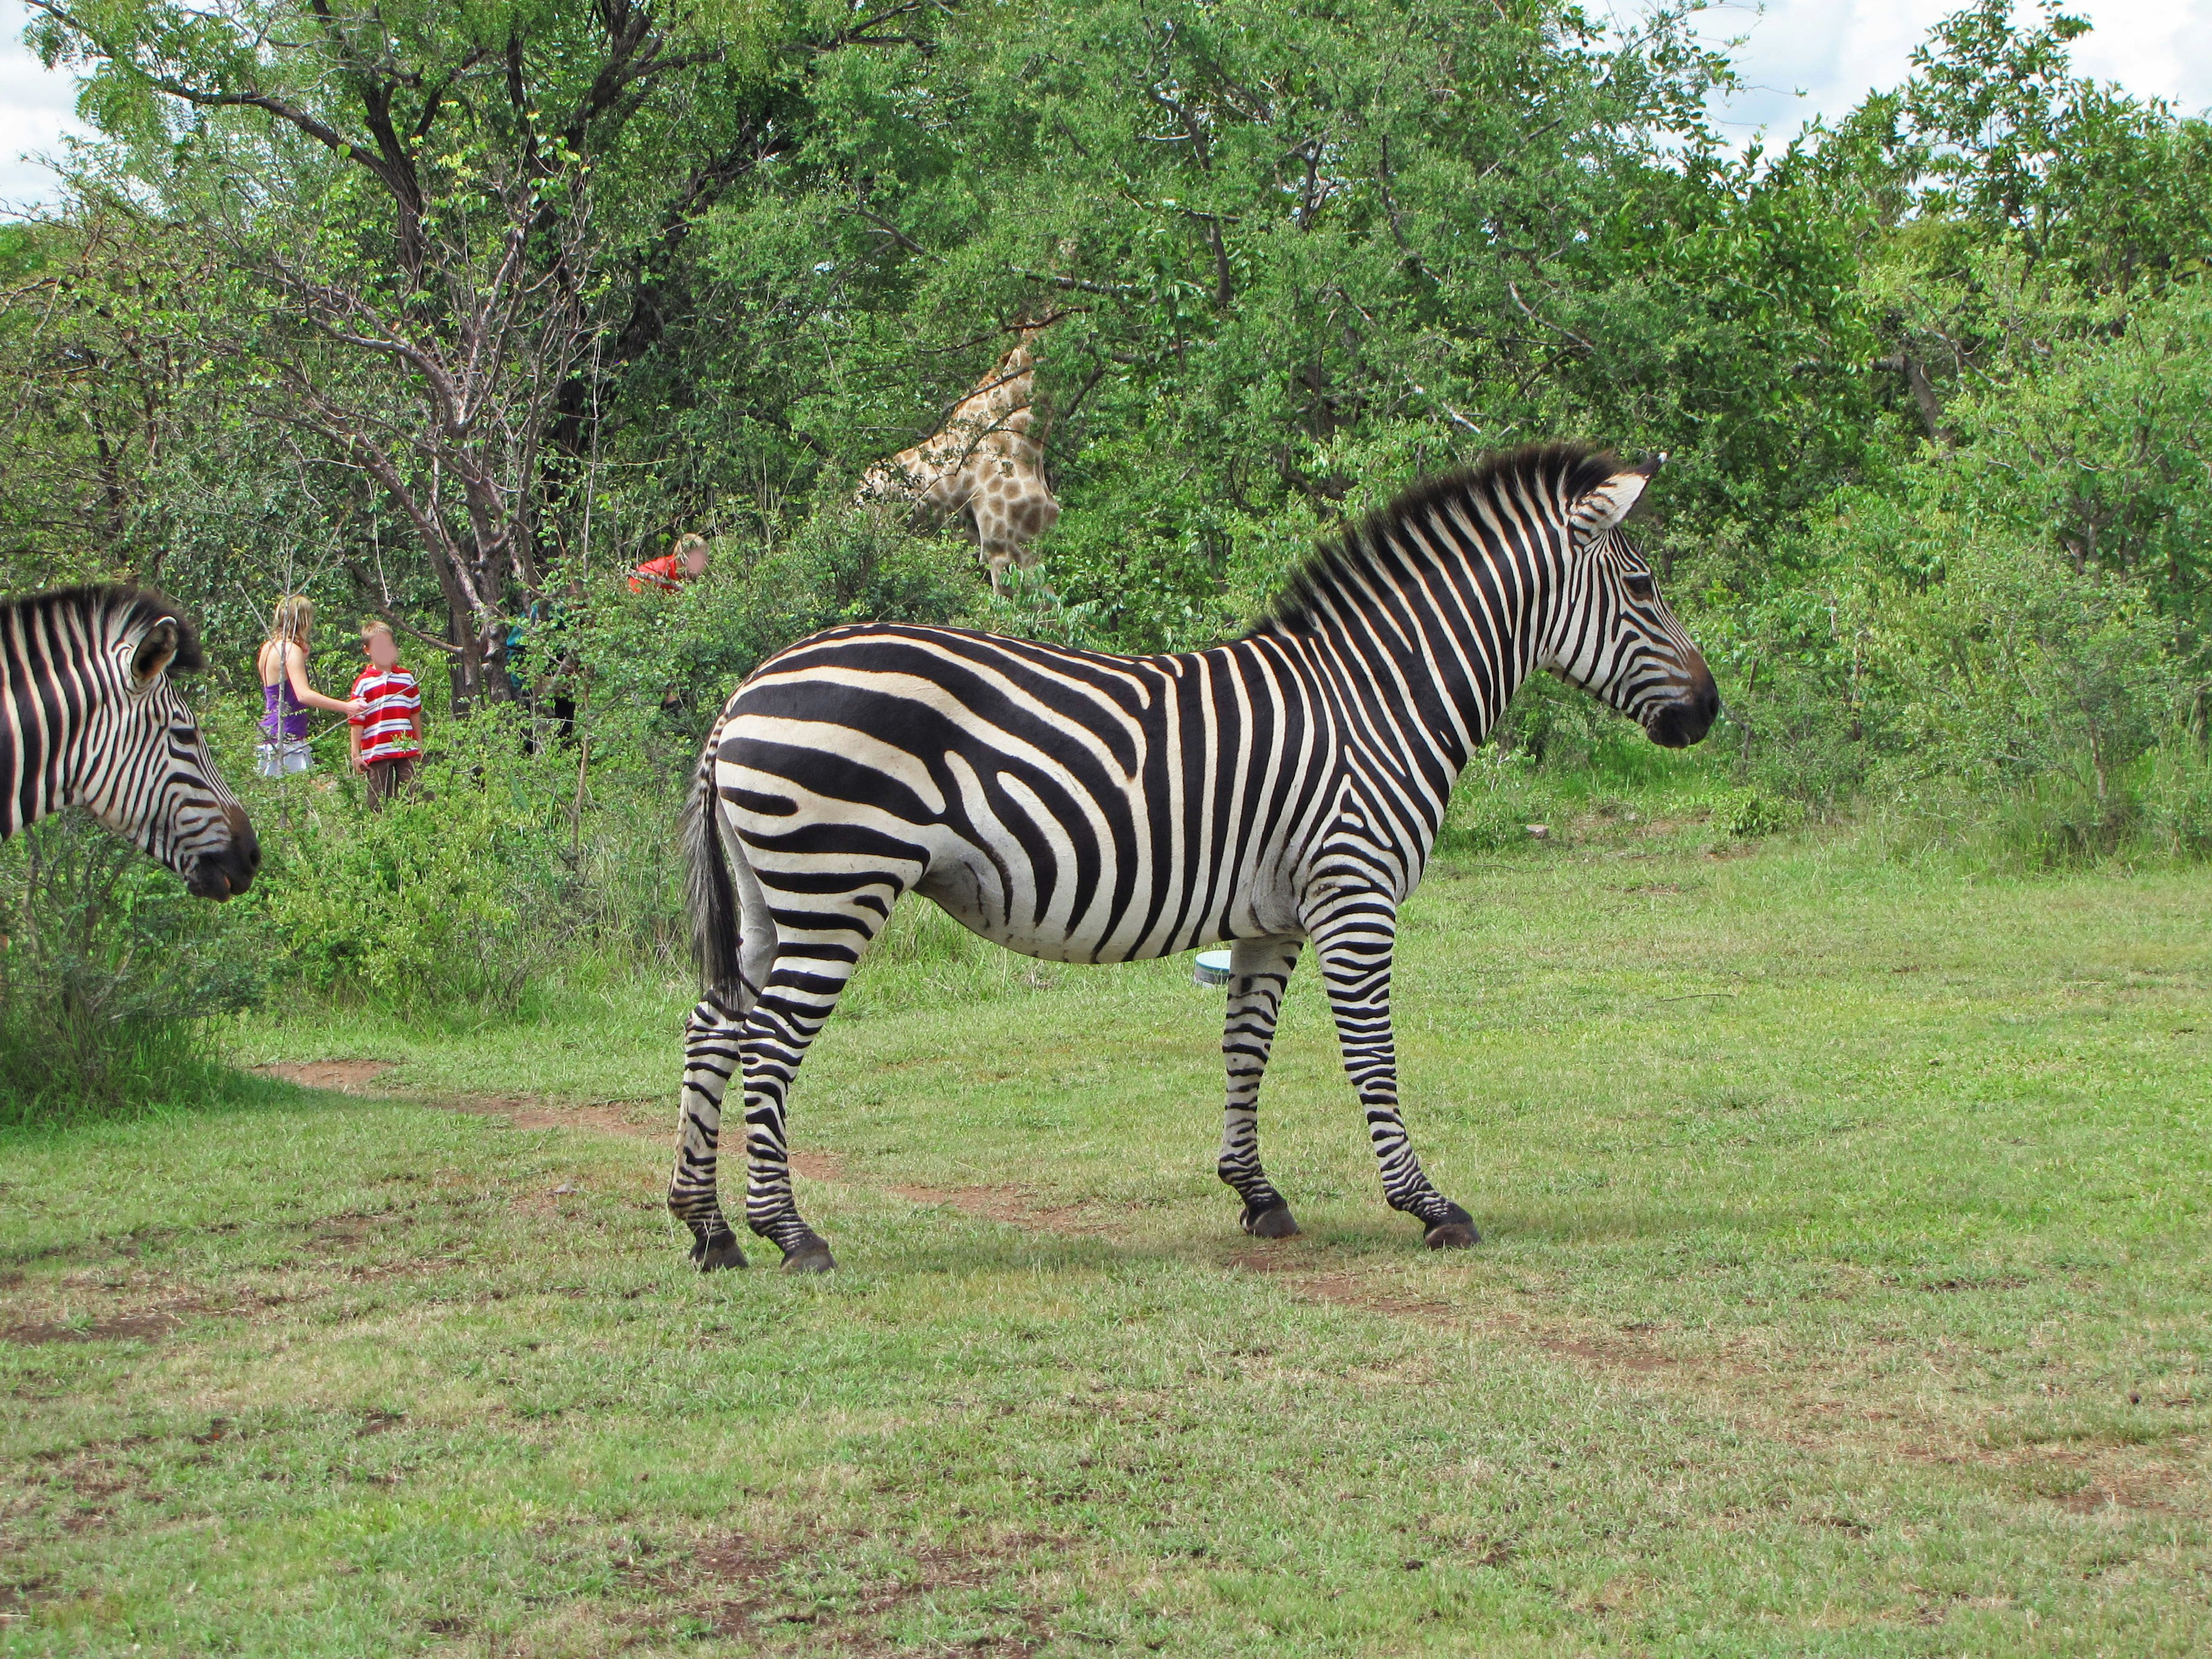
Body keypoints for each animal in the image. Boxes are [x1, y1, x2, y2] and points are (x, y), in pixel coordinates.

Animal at [664, 442, 1716, 1274]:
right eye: (1644, 588)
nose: (1709, 713)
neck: (1377, 699)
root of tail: (743, 694)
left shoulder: (1273, 915)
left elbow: (1246, 1048)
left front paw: (1257, 1194)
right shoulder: (1355, 891)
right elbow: (1372, 1055)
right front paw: (1427, 1206)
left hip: (771, 899)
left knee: (713, 1027)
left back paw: (708, 1231)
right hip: (836, 885)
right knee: (769, 1044)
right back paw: (790, 1234)